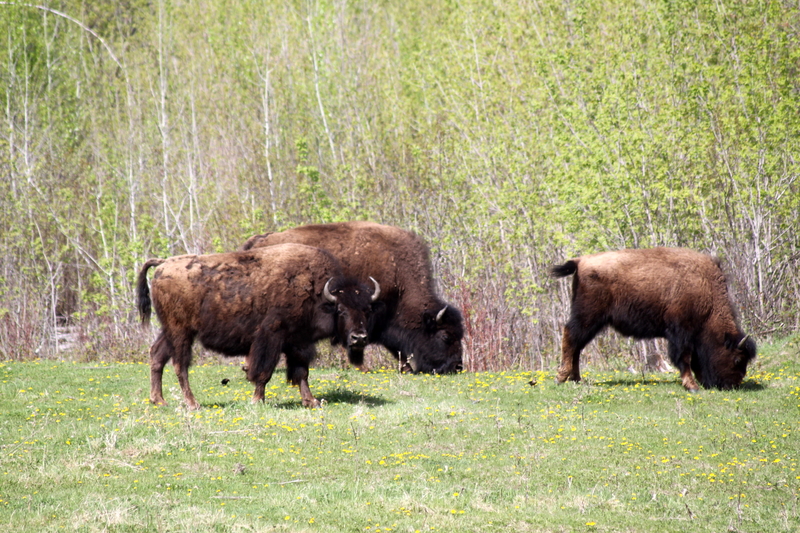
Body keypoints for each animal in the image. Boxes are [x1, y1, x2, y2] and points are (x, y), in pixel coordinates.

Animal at [136, 243, 382, 410]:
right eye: (341, 310)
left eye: (367, 310)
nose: (359, 338)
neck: (319, 293)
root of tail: (163, 264)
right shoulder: (271, 337)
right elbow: (263, 372)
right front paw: (257, 400)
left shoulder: (299, 342)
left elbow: (302, 372)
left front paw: (311, 401)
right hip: (181, 332)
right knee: (180, 365)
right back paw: (192, 403)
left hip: (169, 330)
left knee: (157, 355)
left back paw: (159, 400)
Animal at [552, 246, 756, 390]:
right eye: (738, 360)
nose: (733, 385)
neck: (706, 290)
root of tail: (580, 261)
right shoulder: (681, 332)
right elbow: (684, 357)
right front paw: (692, 386)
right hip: (589, 316)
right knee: (571, 337)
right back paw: (561, 377)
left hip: (592, 321)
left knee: (577, 346)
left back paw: (576, 379)